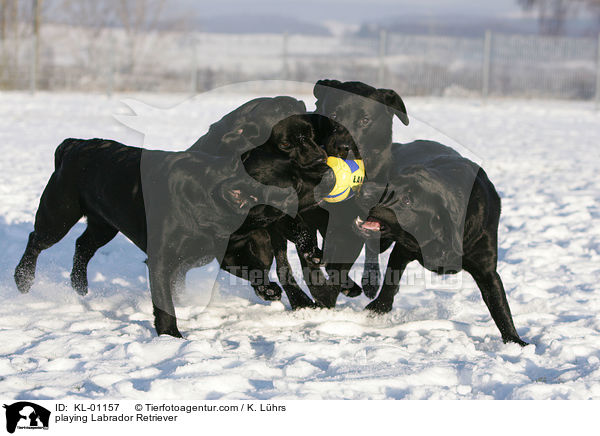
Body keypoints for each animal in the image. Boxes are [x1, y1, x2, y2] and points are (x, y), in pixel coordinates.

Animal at [354, 141, 528, 346]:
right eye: (391, 181)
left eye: (407, 200)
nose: (363, 189)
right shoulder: (402, 250)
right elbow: (391, 280)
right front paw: (379, 308)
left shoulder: (487, 270)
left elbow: (499, 306)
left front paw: (515, 341)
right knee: (371, 248)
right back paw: (370, 282)